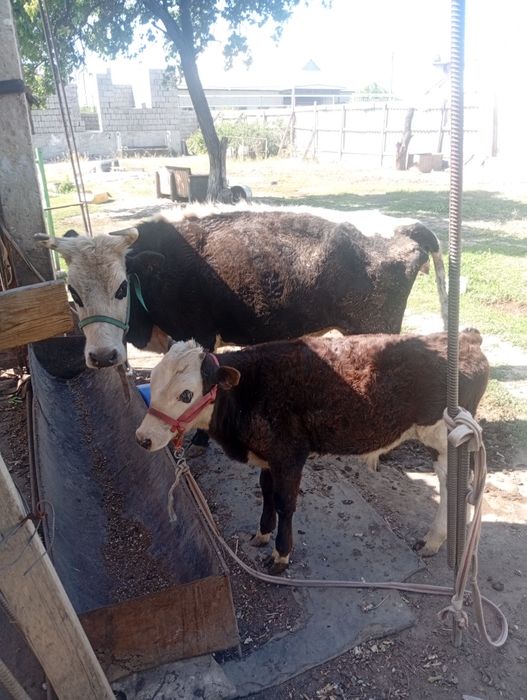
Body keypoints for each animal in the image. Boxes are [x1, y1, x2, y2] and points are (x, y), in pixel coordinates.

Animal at [36, 205, 448, 371]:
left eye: (122, 288)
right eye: (73, 294)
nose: (103, 357)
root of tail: (400, 225)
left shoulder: (198, 335)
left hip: (378, 327)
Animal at [135, 329, 489, 573]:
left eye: (186, 394)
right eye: (152, 379)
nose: (143, 438)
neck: (247, 392)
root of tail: (465, 338)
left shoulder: (290, 455)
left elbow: (285, 503)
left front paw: (281, 555)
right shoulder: (269, 456)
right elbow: (265, 492)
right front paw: (262, 533)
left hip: (445, 434)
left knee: (453, 482)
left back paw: (434, 539)